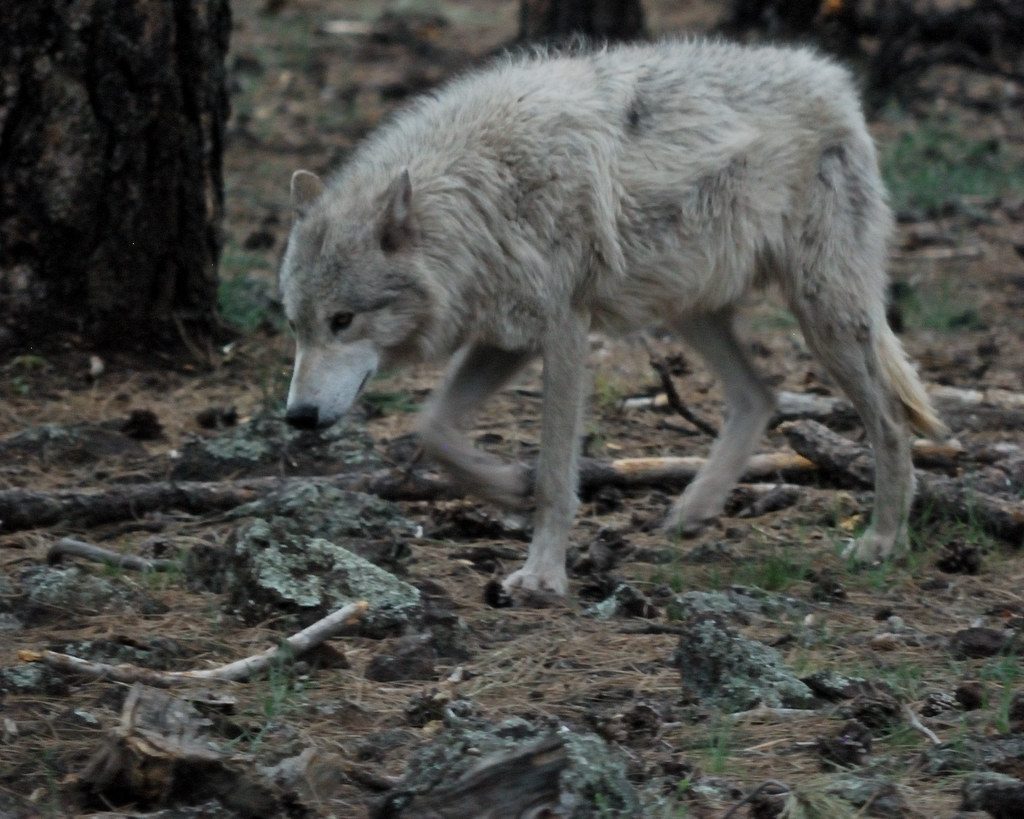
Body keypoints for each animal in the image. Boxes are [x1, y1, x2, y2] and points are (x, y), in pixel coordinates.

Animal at [278, 39, 947, 595]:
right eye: (297, 325)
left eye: (343, 321)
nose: (298, 418)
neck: (483, 195)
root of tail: (833, 78)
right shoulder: (508, 338)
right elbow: (432, 429)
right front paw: (508, 489)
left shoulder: (563, 332)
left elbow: (555, 474)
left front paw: (542, 575)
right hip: (690, 310)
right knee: (760, 395)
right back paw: (694, 509)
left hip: (822, 315)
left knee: (889, 422)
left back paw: (882, 541)